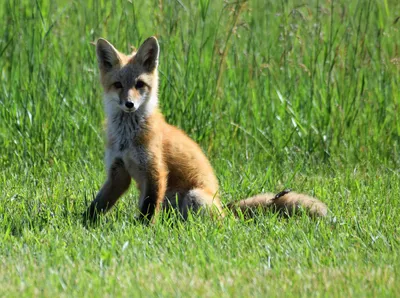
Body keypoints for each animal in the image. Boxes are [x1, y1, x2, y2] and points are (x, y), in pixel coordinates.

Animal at [82, 36, 328, 224]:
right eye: (118, 85)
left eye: (139, 85)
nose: (129, 104)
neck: (127, 138)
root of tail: (225, 209)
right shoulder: (119, 171)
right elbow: (98, 204)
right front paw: (83, 221)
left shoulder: (155, 171)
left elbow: (149, 208)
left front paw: (142, 228)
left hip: (194, 196)